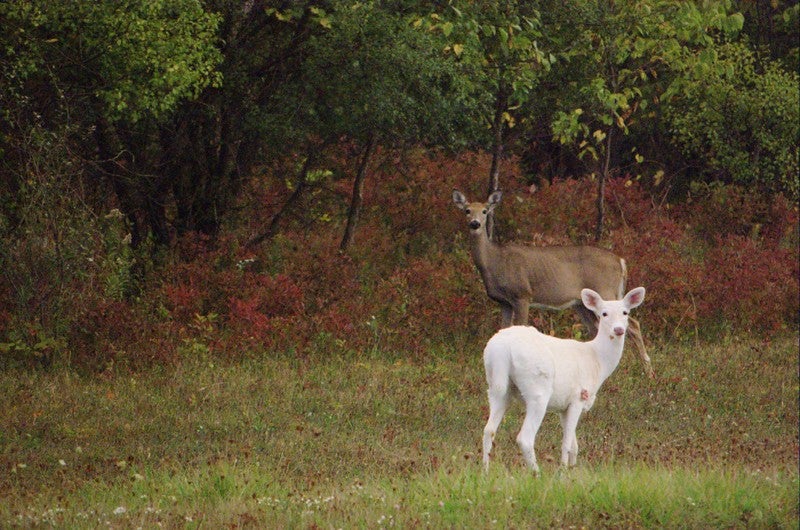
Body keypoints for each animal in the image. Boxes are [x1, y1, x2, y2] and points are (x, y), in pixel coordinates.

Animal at [452, 190, 652, 378]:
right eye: (467, 210)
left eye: (485, 211)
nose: (475, 223)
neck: (494, 262)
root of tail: (620, 261)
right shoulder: (504, 302)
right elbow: (504, 330)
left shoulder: (522, 294)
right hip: (582, 303)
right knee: (597, 329)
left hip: (605, 290)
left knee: (633, 324)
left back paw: (648, 372)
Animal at [482, 286, 646, 473]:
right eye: (604, 313)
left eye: (625, 312)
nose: (618, 330)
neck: (598, 360)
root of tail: (502, 349)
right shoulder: (578, 397)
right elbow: (567, 443)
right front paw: (563, 471)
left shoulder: (563, 406)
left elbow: (574, 445)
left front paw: (572, 469)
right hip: (537, 389)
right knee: (524, 438)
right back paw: (537, 473)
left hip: (496, 386)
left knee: (488, 430)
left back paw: (485, 471)